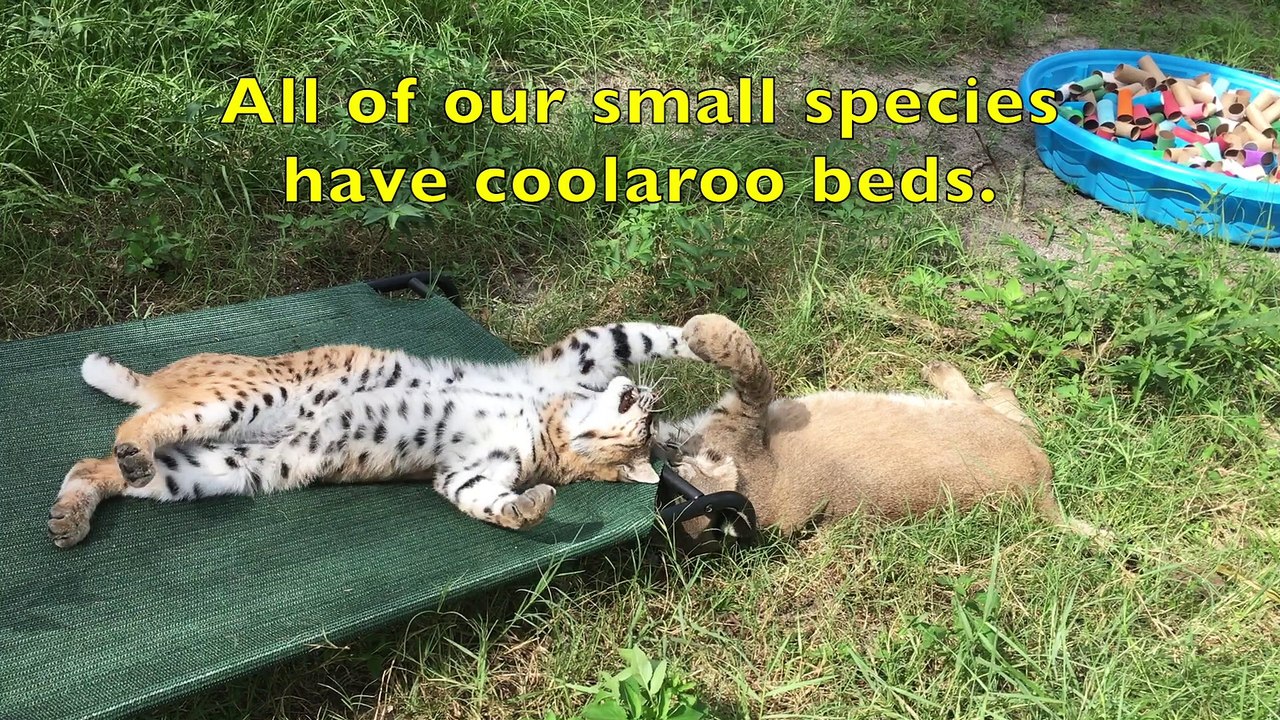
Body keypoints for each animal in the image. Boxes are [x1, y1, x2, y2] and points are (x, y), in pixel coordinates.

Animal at [47, 321, 702, 548]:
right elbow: (630, 334)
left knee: (94, 463)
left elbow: (485, 499)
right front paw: (708, 335)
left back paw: (71, 515)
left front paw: (527, 508)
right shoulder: (561, 363)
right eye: (646, 421)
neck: (555, 421)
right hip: (251, 395)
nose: (654, 399)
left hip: (226, 467)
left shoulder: (466, 469)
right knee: (133, 423)